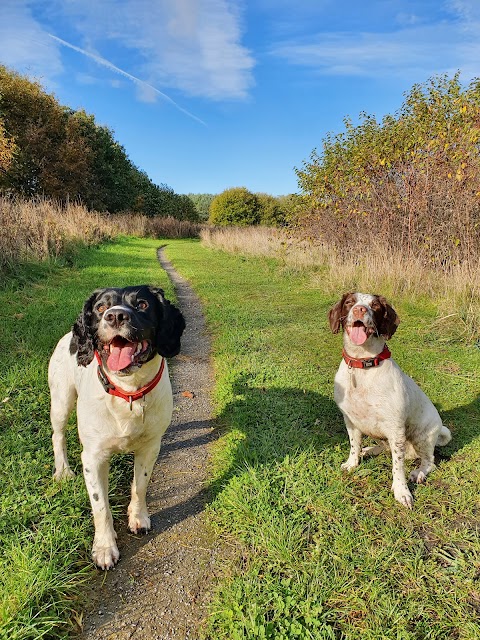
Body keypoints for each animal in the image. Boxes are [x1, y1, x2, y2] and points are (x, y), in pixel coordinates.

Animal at [48, 288, 184, 568]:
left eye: (142, 304)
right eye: (101, 308)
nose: (116, 316)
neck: (128, 391)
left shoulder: (150, 447)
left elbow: (140, 486)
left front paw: (138, 517)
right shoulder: (93, 457)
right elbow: (101, 507)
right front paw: (104, 547)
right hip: (61, 401)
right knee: (58, 436)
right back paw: (63, 471)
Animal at [328, 292, 452, 508]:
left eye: (375, 305)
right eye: (350, 302)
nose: (360, 309)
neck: (363, 364)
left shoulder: (396, 430)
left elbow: (398, 466)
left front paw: (401, 491)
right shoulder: (351, 421)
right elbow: (354, 446)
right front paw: (352, 463)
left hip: (422, 436)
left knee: (429, 461)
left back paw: (419, 472)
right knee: (384, 447)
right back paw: (369, 449)